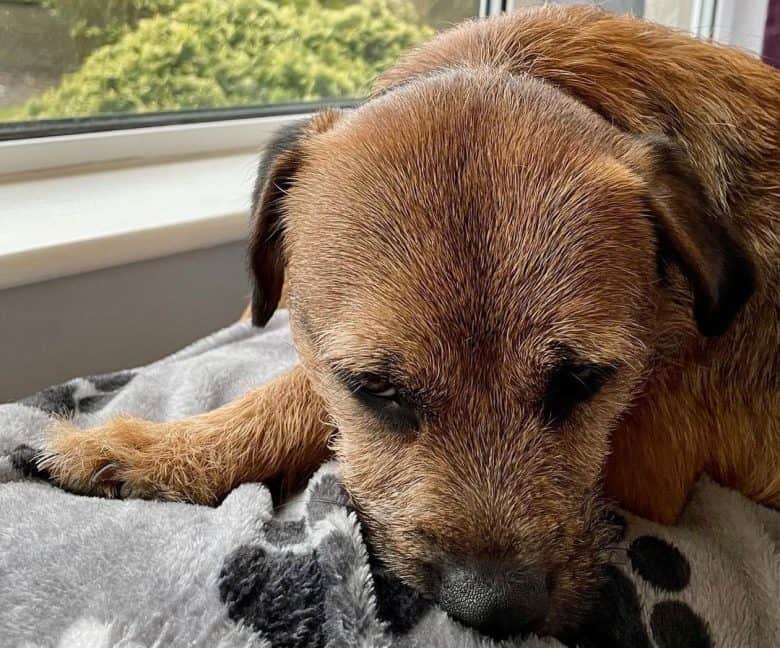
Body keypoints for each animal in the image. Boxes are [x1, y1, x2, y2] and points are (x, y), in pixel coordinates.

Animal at [38, 5, 780, 640]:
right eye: (377, 389)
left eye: (582, 383)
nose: (495, 608)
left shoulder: (654, 453)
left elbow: (298, 393)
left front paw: (145, 449)